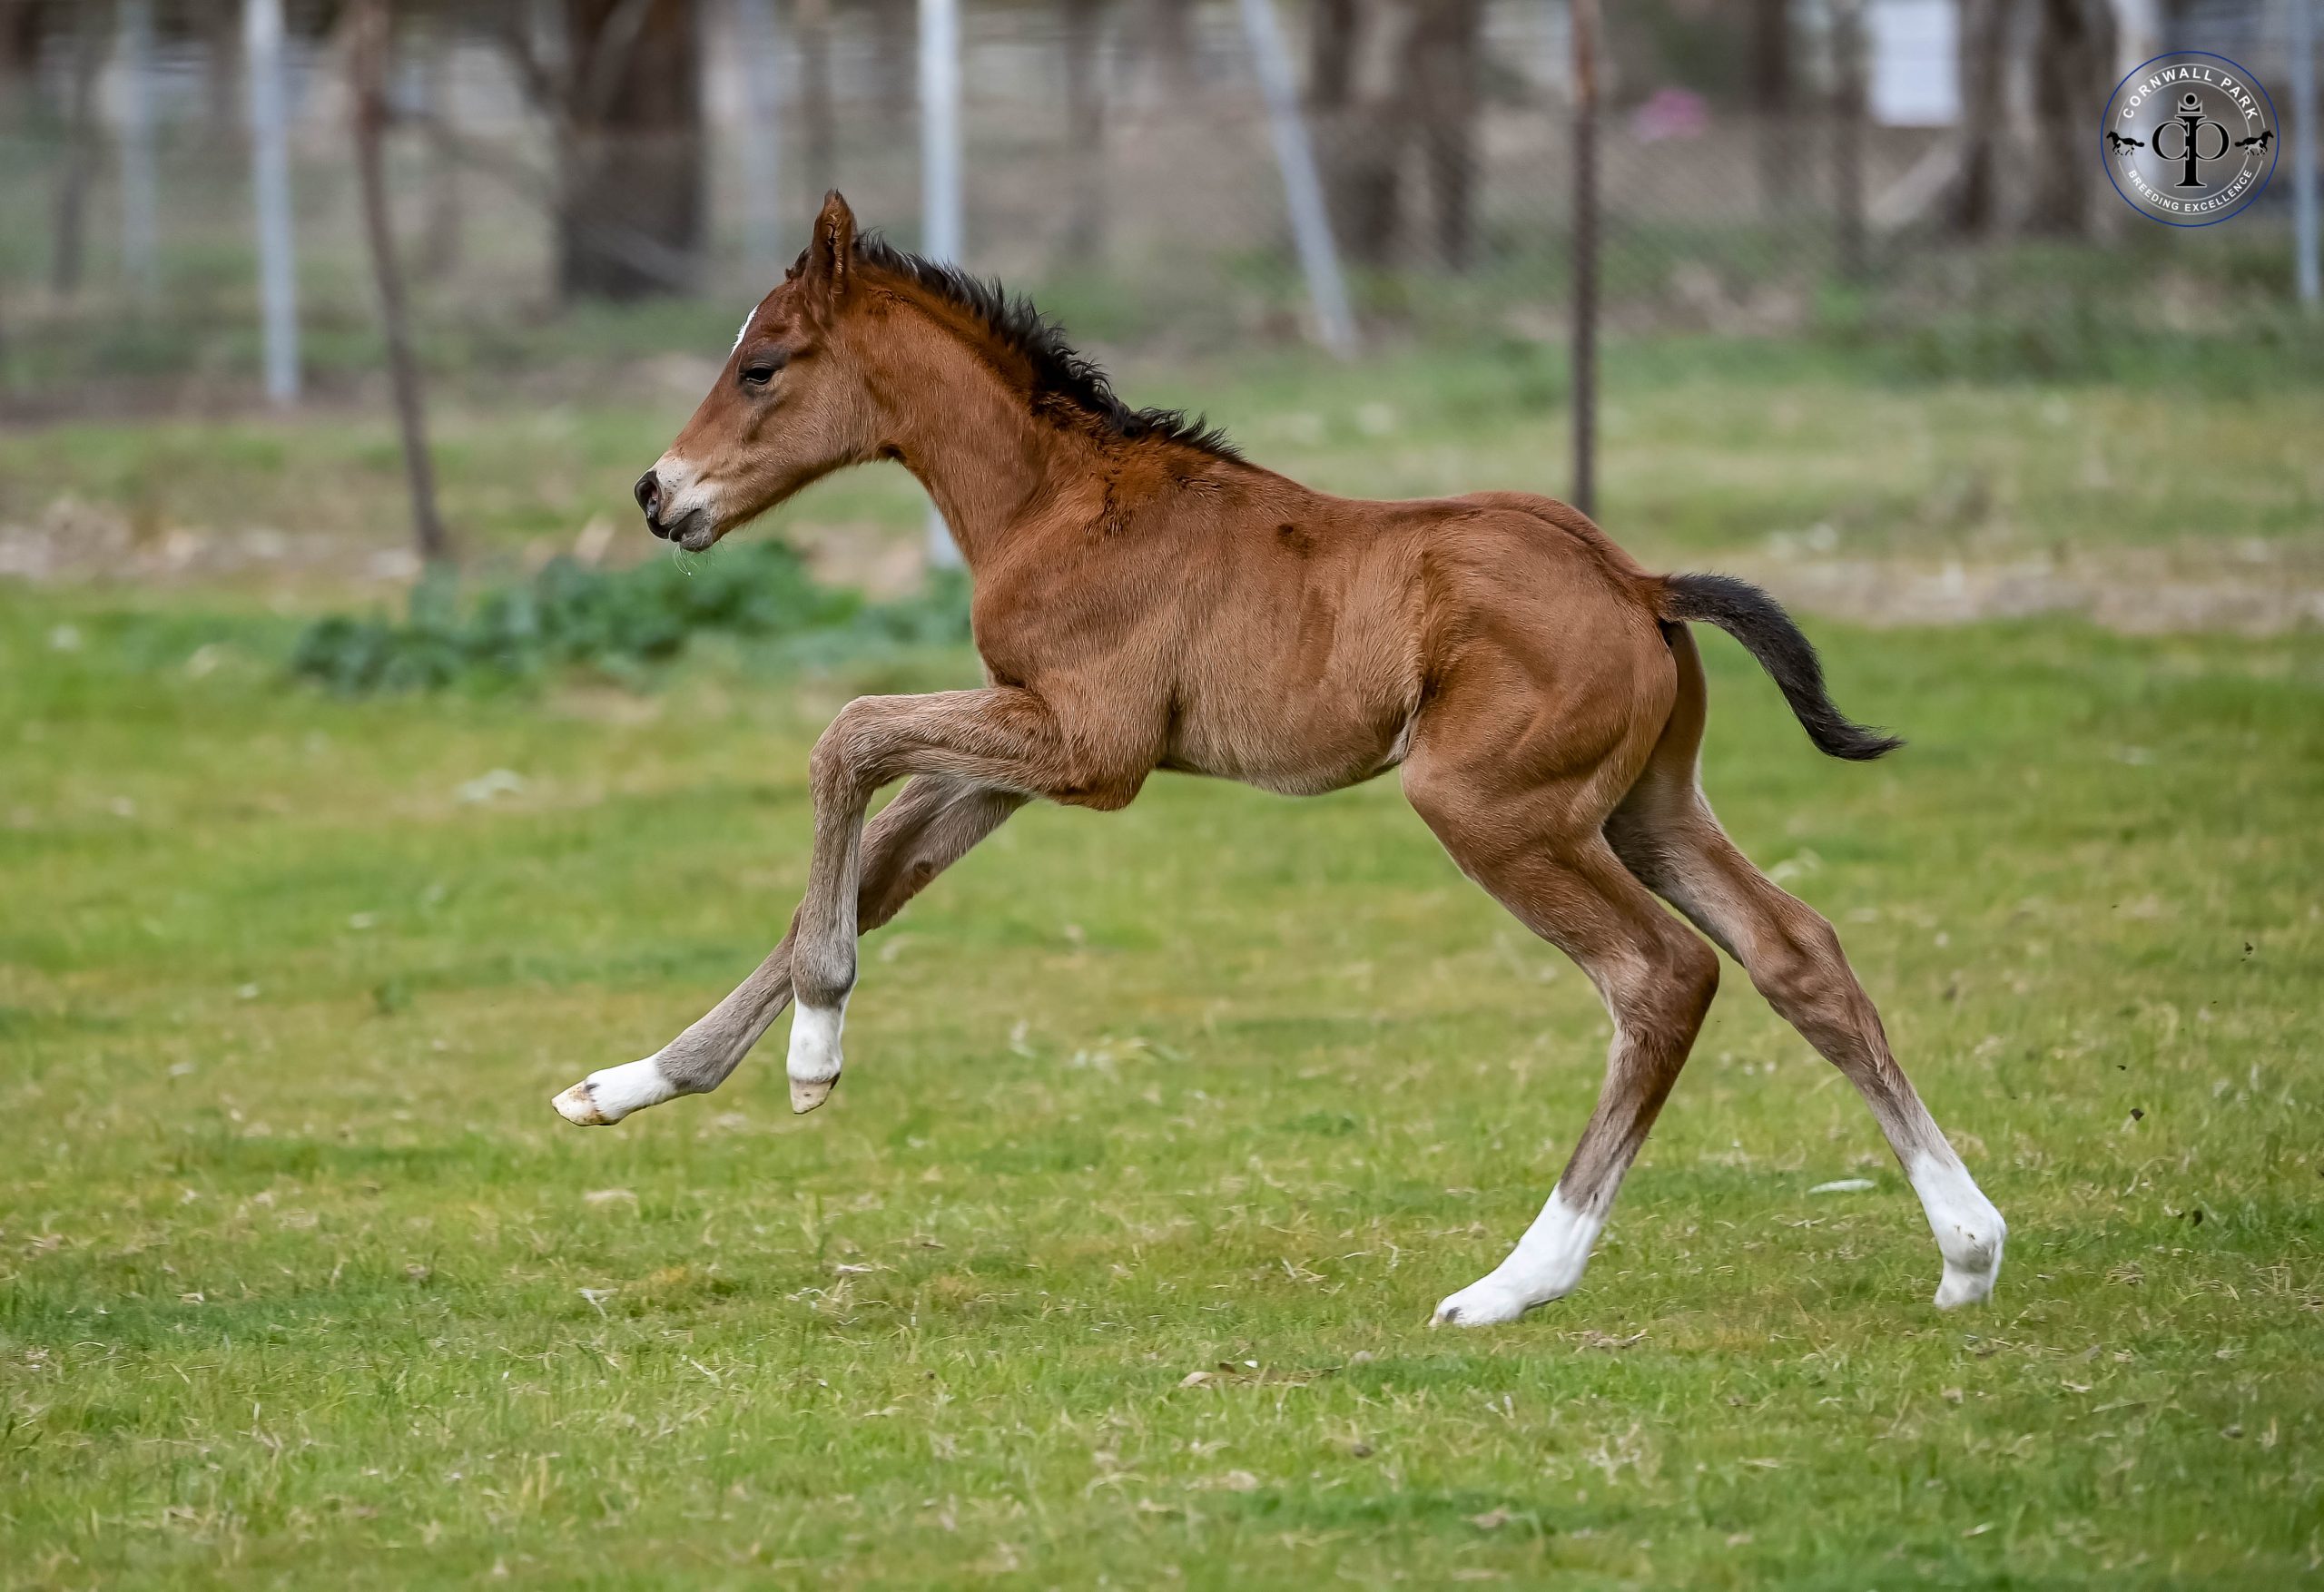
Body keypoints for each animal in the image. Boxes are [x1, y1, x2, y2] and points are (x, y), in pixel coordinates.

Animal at [551, 192, 2006, 1325]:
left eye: (763, 365)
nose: (657, 494)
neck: (1054, 502)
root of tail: (1636, 579)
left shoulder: (1086, 745)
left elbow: (842, 739)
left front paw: (812, 1055)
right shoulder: (1019, 755)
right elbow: (876, 868)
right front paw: (632, 1082)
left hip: (1489, 807)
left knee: (1663, 975)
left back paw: (1515, 1282)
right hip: (1647, 807)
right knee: (1795, 951)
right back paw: (1968, 1247)